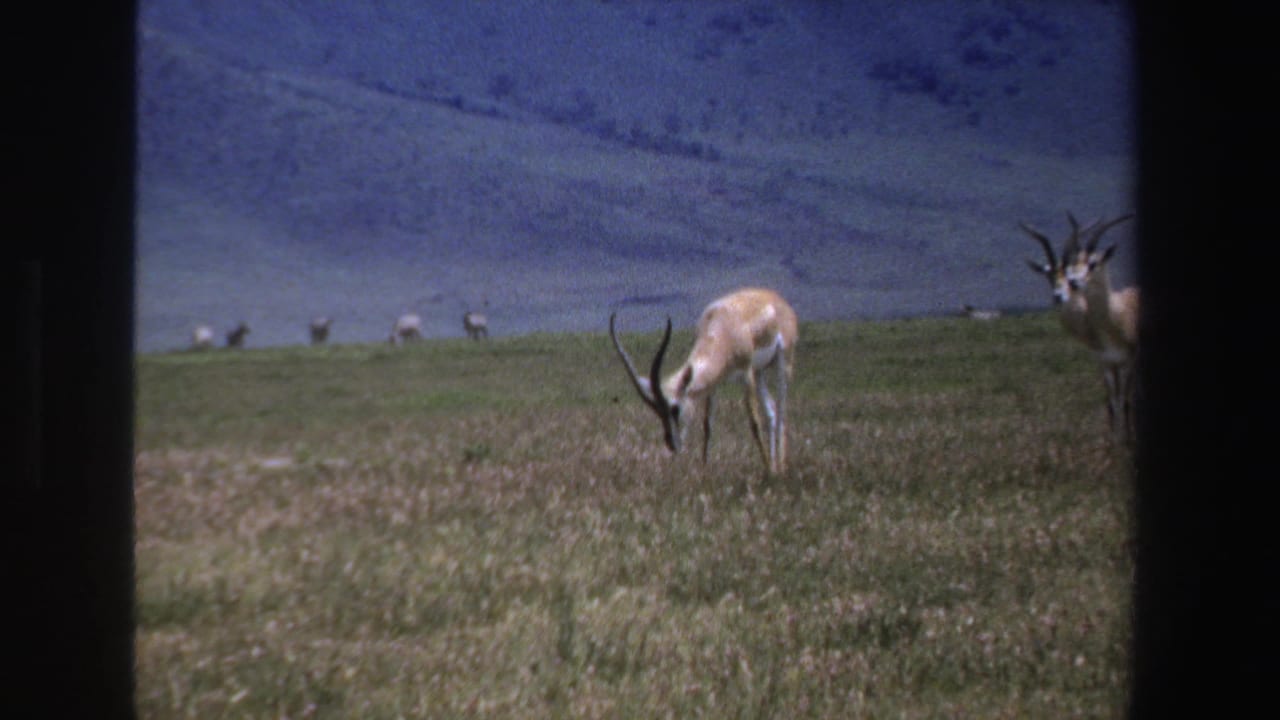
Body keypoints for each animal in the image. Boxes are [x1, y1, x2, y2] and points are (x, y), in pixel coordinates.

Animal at [609, 287, 798, 475]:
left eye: (675, 409)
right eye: (658, 413)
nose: (671, 444)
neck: (723, 326)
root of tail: (777, 299)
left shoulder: (747, 374)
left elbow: (754, 423)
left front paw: (767, 472)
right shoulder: (713, 383)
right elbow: (707, 426)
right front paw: (704, 469)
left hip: (782, 364)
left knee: (781, 411)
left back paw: (780, 467)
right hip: (760, 373)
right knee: (771, 411)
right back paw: (775, 466)